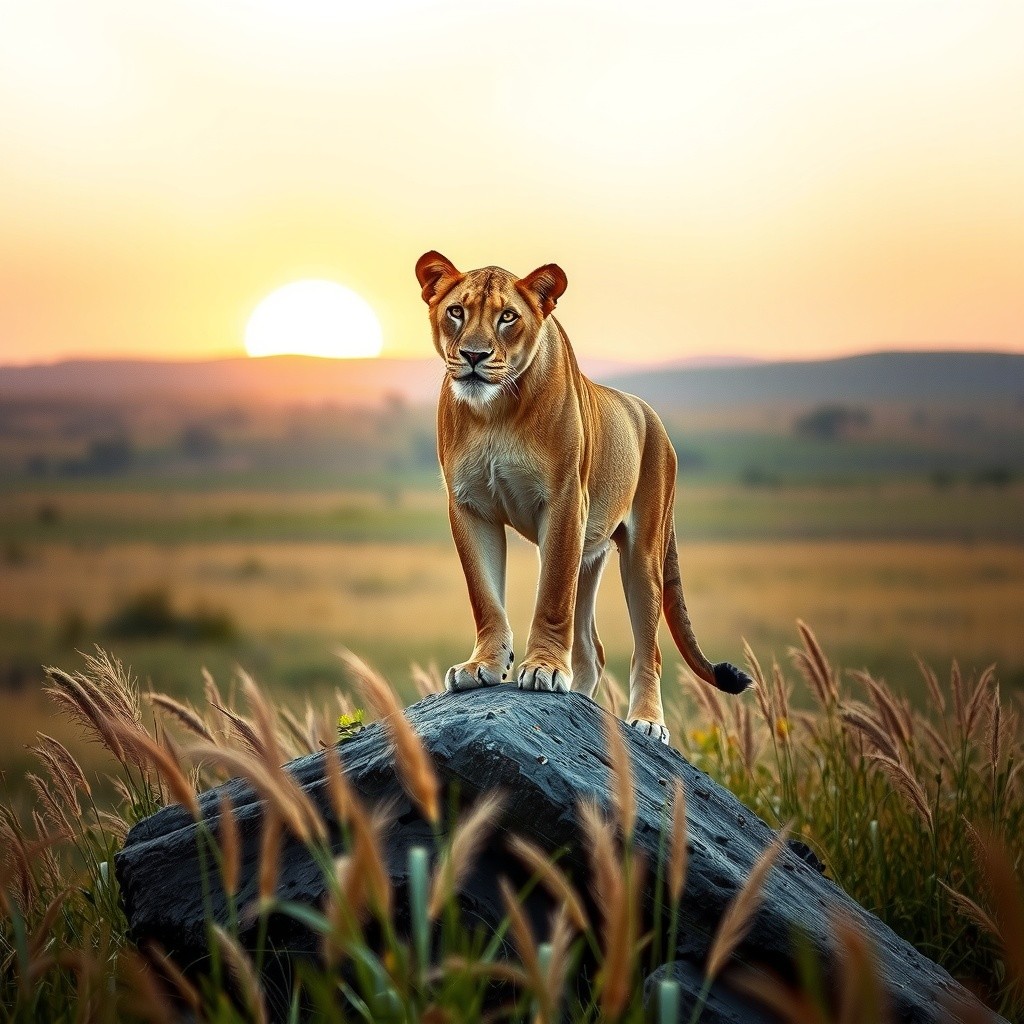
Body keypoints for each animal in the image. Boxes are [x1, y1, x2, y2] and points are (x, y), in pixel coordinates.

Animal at [415, 251, 751, 742]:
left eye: (508, 317)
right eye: (456, 311)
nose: (474, 356)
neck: (496, 410)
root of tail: (651, 416)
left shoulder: (564, 502)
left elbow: (553, 595)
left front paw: (543, 669)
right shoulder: (469, 506)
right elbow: (485, 595)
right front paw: (483, 666)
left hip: (643, 553)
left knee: (648, 649)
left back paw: (647, 723)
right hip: (590, 554)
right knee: (593, 650)